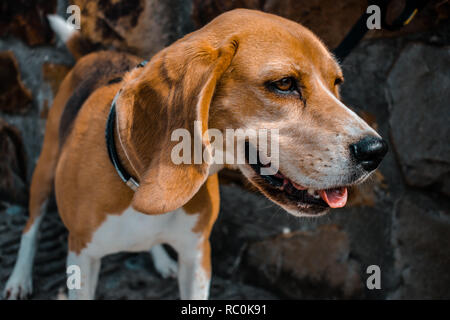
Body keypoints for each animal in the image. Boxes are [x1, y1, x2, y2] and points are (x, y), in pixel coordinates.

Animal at [3, 9, 386, 300]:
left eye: (336, 83)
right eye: (283, 84)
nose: (376, 151)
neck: (136, 182)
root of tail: (95, 54)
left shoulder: (197, 256)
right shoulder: (82, 259)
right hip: (44, 170)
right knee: (30, 227)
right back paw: (19, 278)